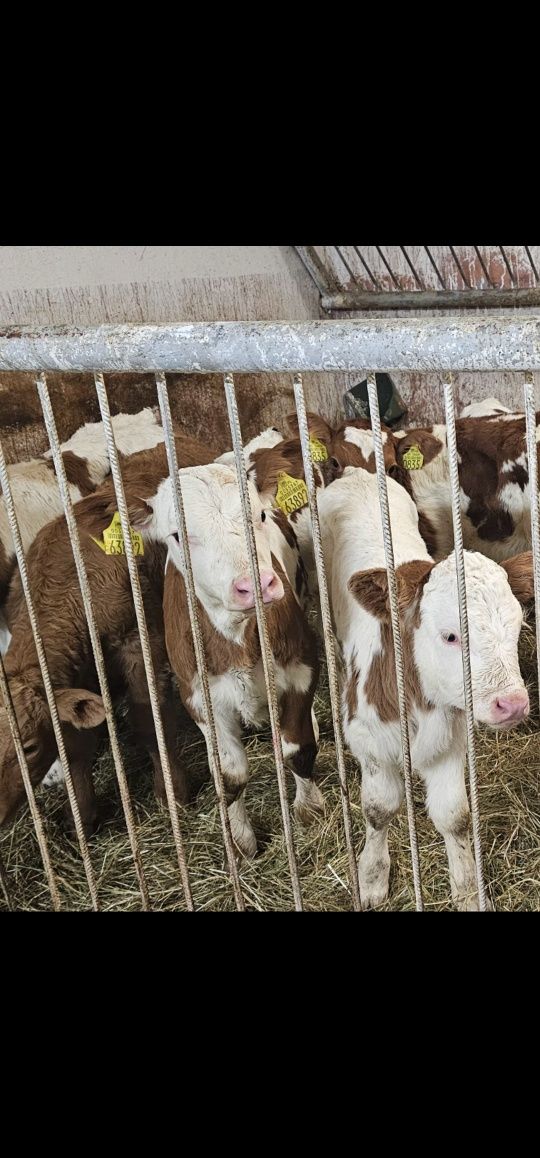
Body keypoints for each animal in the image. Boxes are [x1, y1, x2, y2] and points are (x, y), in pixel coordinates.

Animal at [0, 435, 215, 833]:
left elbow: (149, 721)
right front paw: (82, 818)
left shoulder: (139, 645)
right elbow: (75, 745)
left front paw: (173, 794)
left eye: (30, 747)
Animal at [137, 463, 322, 861]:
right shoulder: (198, 698)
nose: (255, 585)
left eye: (261, 516)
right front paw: (240, 842)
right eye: (178, 535)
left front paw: (310, 810)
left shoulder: (301, 668)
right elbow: (229, 776)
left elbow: (297, 748)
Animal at [317, 465, 533, 907]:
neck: (419, 702)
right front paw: (372, 878)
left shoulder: (450, 743)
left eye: (518, 624)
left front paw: (468, 890)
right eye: (450, 636)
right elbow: (379, 809)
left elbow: (455, 815)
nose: (513, 704)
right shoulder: (369, 744)